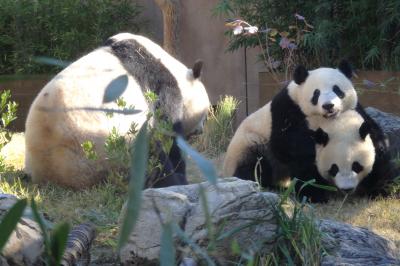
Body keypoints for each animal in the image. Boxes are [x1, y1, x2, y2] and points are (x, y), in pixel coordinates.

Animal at [25, 32, 211, 189]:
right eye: (205, 112)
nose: (201, 130)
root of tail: (53, 173)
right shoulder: (159, 85)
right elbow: (168, 132)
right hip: (105, 150)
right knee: (150, 156)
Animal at [223, 60, 358, 187]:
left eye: (337, 90)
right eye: (316, 93)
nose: (328, 106)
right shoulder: (285, 108)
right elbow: (286, 143)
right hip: (249, 144)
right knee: (255, 165)